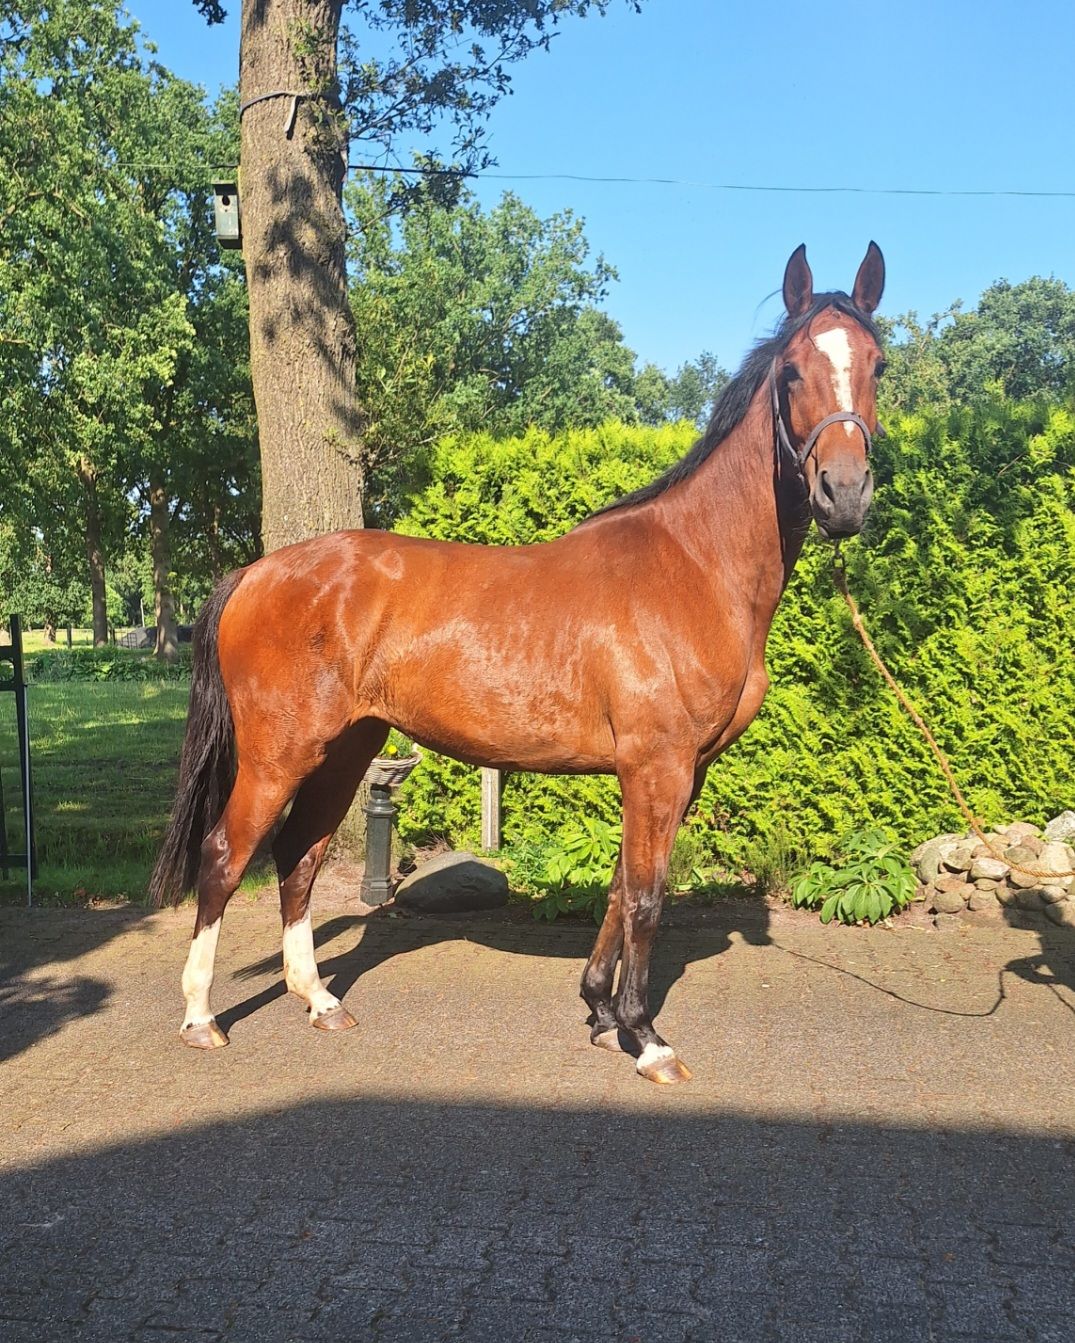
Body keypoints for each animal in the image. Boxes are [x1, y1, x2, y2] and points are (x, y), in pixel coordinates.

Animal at [151, 242, 886, 1084]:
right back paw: (201, 1017)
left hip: (343, 748)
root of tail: (256, 573)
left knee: (297, 856)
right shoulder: (657, 765)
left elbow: (618, 886)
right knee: (224, 855)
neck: (694, 564)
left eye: (877, 363)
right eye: (792, 370)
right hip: (279, 752)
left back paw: (320, 1000)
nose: (843, 493)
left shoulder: (676, 771)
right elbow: (645, 896)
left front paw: (601, 1012)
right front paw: (646, 1036)